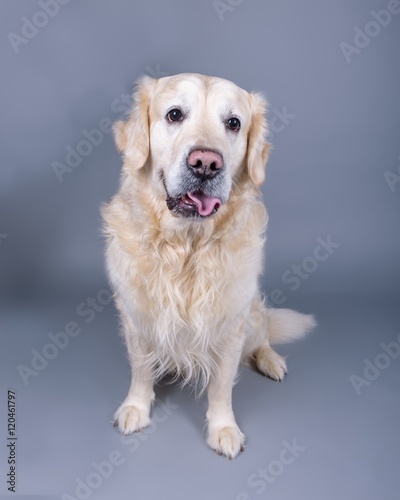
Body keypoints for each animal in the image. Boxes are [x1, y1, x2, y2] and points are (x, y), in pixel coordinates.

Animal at [102, 72, 316, 458]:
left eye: (233, 123)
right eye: (174, 114)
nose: (206, 163)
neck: (186, 247)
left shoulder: (230, 326)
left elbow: (221, 386)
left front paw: (223, 429)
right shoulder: (136, 317)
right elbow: (141, 369)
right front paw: (136, 407)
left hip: (254, 313)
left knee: (262, 337)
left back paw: (271, 360)